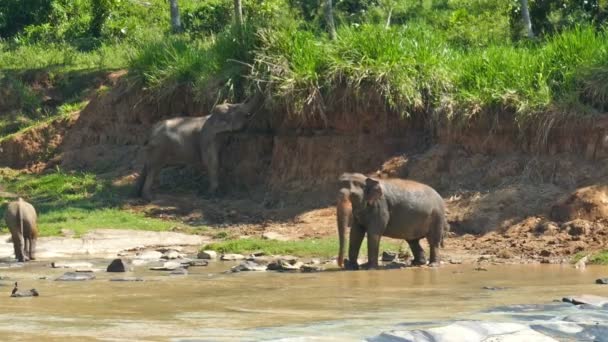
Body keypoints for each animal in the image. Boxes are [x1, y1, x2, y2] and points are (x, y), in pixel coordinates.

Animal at [134, 92, 262, 202]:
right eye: (237, 110)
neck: (211, 117)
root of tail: (150, 133)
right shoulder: (207, 137)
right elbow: (211, 161)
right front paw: (211, 193)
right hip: (159, 147)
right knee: (154, 168)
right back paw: (149, 197)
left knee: (148, 167)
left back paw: (137, 193)